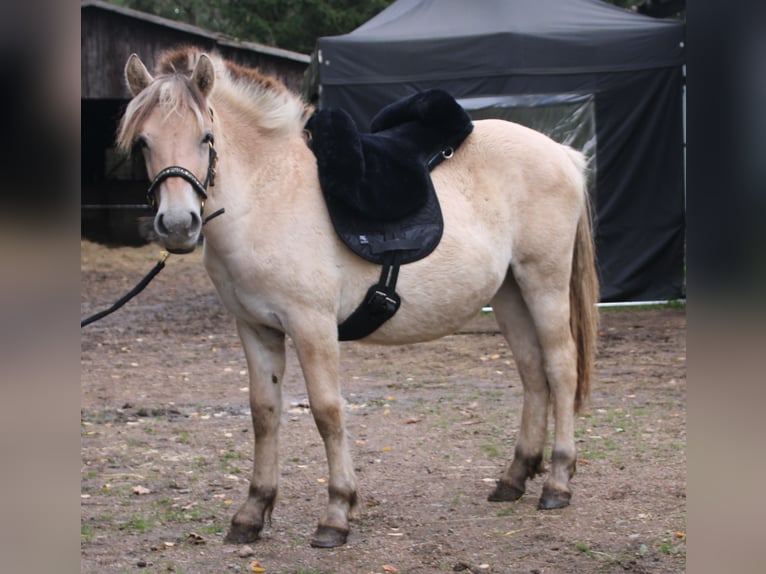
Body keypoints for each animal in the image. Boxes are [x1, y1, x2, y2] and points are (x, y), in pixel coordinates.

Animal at [118, 46, 600, 548]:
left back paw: (557, 482)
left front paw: (336, 512)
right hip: (508, 294)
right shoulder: (256, 328)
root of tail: (563, 154)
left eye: (206, 137)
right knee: (533, 373)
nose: (178, 225)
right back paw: (514, 477)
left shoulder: (312, 326)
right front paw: (252, 513)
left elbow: (328, 412)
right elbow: (264, 413)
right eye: (144, 143)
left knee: (561, 368)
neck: (268, 195)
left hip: (543, 282)